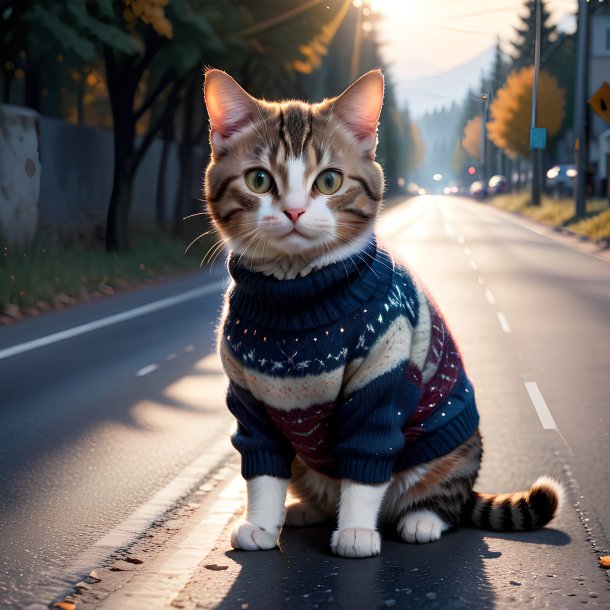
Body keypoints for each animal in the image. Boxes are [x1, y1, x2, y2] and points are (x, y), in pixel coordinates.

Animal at [201, 67, 560, 556]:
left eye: (328, 181)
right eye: (258, 180)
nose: (293, 211)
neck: (298, 296)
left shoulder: (383, 377)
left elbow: (367, 458)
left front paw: (355, 531)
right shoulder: (248, 394)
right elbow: (262, 464)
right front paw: (260, 521)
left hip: (452, 445)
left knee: (444, 498)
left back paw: (421, 519)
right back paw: (304, 509)